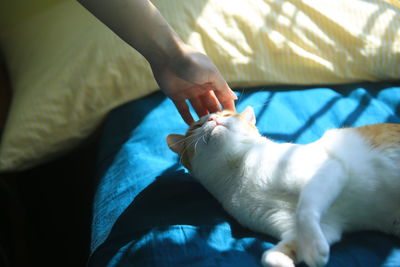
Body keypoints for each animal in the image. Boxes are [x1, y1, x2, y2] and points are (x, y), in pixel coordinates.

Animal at [166, 107, 400, 267]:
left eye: (228, 114)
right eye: (197, 126)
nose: (213, 119)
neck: (238, 172)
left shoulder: (330, 169)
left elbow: (305, 209)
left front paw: (316, 251)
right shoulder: (319, 227)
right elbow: (270, 255)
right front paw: (295, 257)